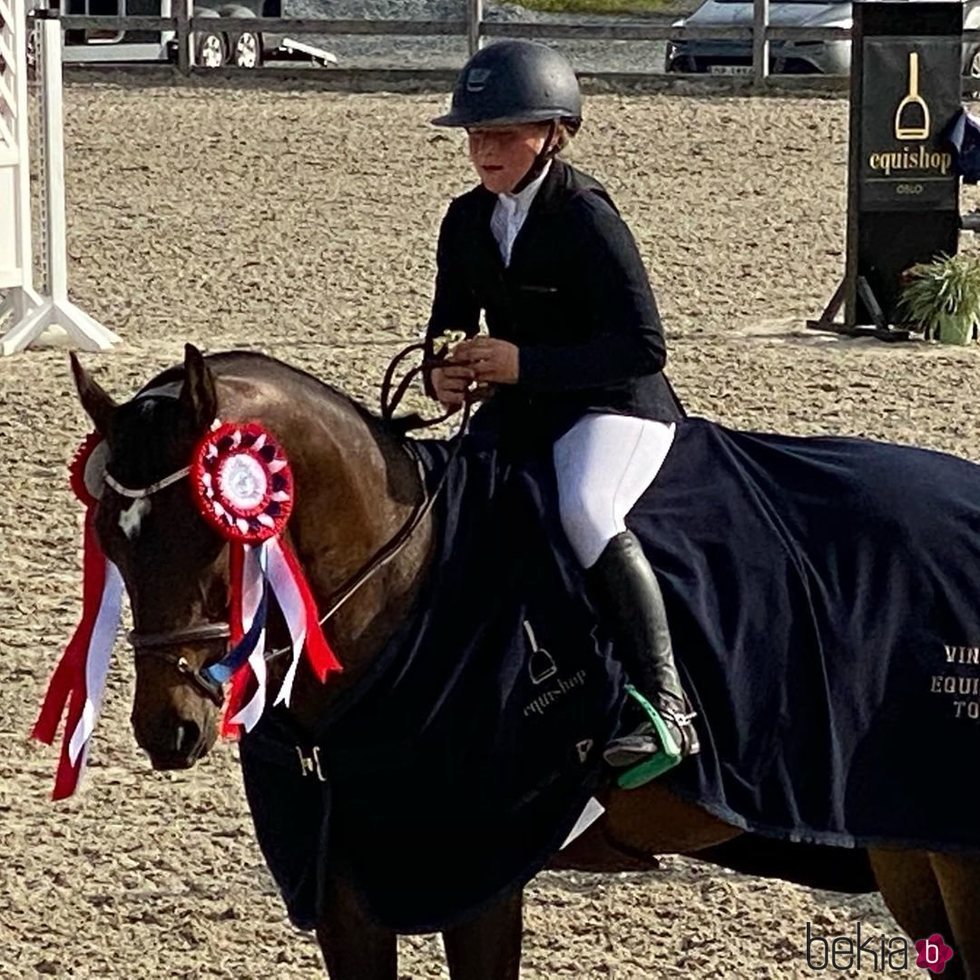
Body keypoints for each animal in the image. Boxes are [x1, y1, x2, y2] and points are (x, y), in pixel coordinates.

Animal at [69, 338, 980, 980]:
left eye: (211, 532)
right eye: (112, 536)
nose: (166, 728)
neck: (408, 585)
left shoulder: (478, 873)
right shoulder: (341, 890)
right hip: (905, 847)